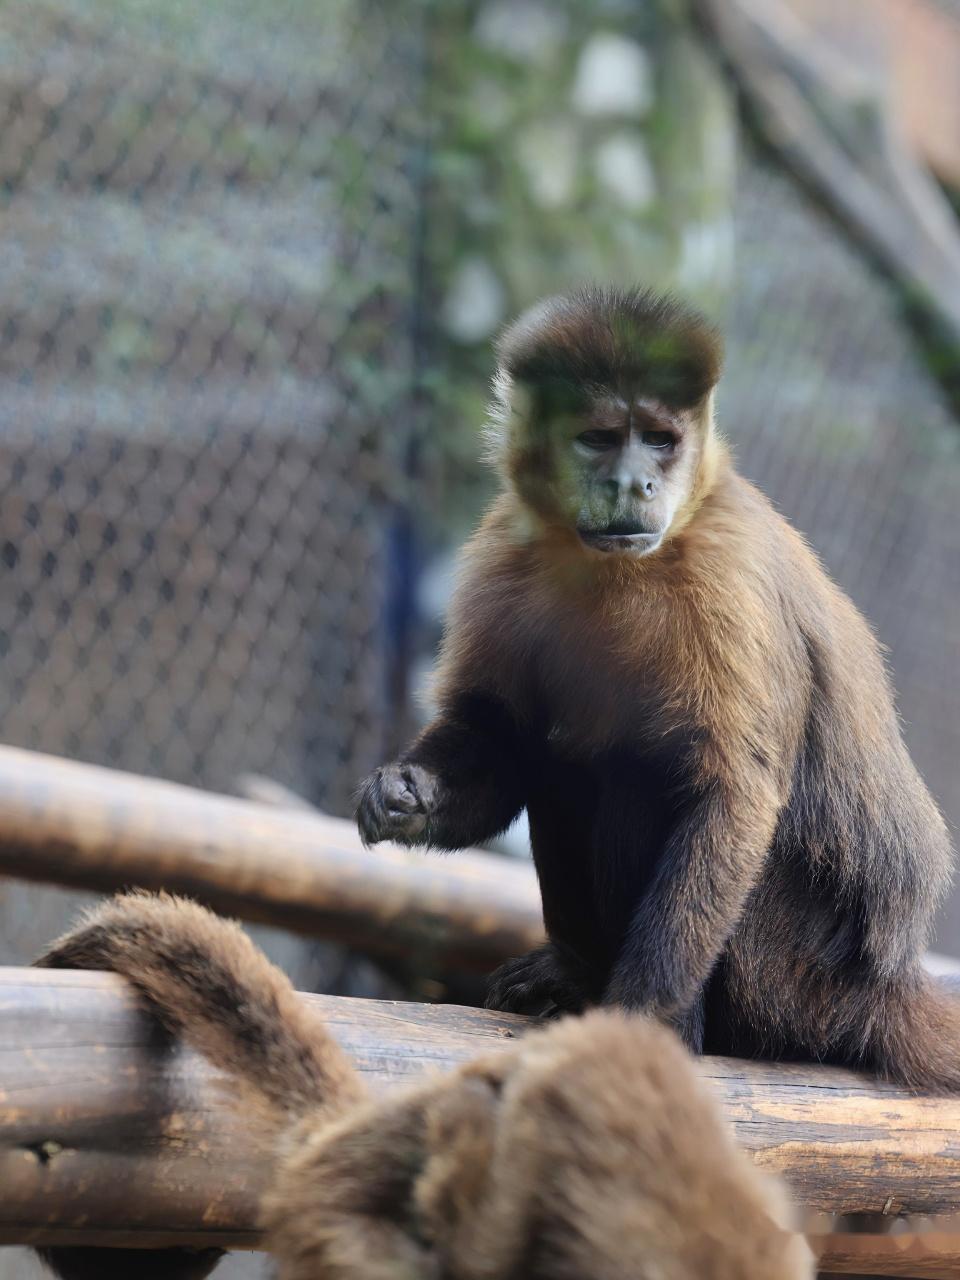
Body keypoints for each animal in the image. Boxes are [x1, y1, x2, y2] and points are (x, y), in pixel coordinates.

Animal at [360, 282, 960, 1090]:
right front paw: (407, 794)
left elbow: (733, 796)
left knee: (637, 776)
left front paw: (638, 1021)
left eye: (659, 439)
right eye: (600, 439)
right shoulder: (504, 548)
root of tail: (882, 989)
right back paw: (576, 974)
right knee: (561, 763)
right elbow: (500, 737)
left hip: (789, 976)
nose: (634, 482)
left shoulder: (722, 576)